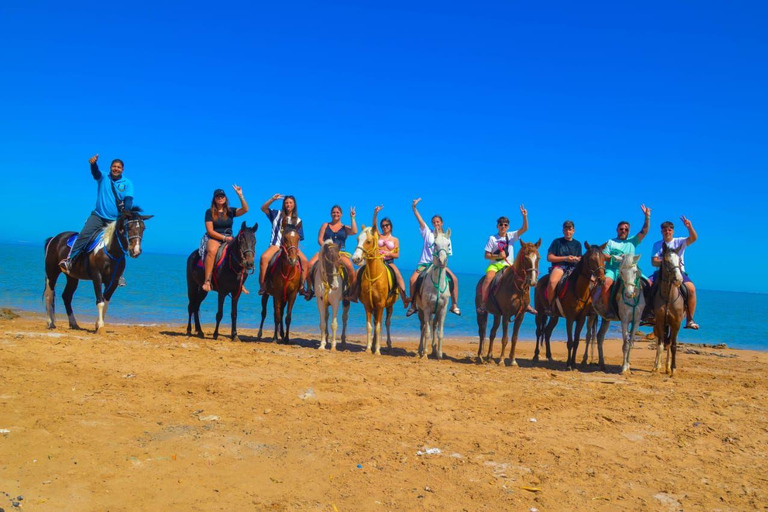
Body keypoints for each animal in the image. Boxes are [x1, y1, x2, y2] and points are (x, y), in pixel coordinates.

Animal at [351, 226, 398, 355]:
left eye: (368, 241)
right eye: (357, 239)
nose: (356, 259)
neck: (373, 275)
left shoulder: (381, 304)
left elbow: (378, 326)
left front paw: (377, 350)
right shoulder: (368, 305)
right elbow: (370, 326)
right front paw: (368, 348)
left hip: (389, 306)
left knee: (386, 323)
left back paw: (388, 345)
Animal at [412, 229, 452, 359]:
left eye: (448, 244)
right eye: (435, 244)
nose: (442, 261)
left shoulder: (443, 309)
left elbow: (440, 332)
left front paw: (439, 354)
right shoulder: (426, 308)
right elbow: (427, 332)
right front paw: (425, 353)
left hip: (435, 312)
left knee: (433, 325)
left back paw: (434, 350)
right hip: (422, 311)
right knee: (423, 327)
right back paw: (421, 350)